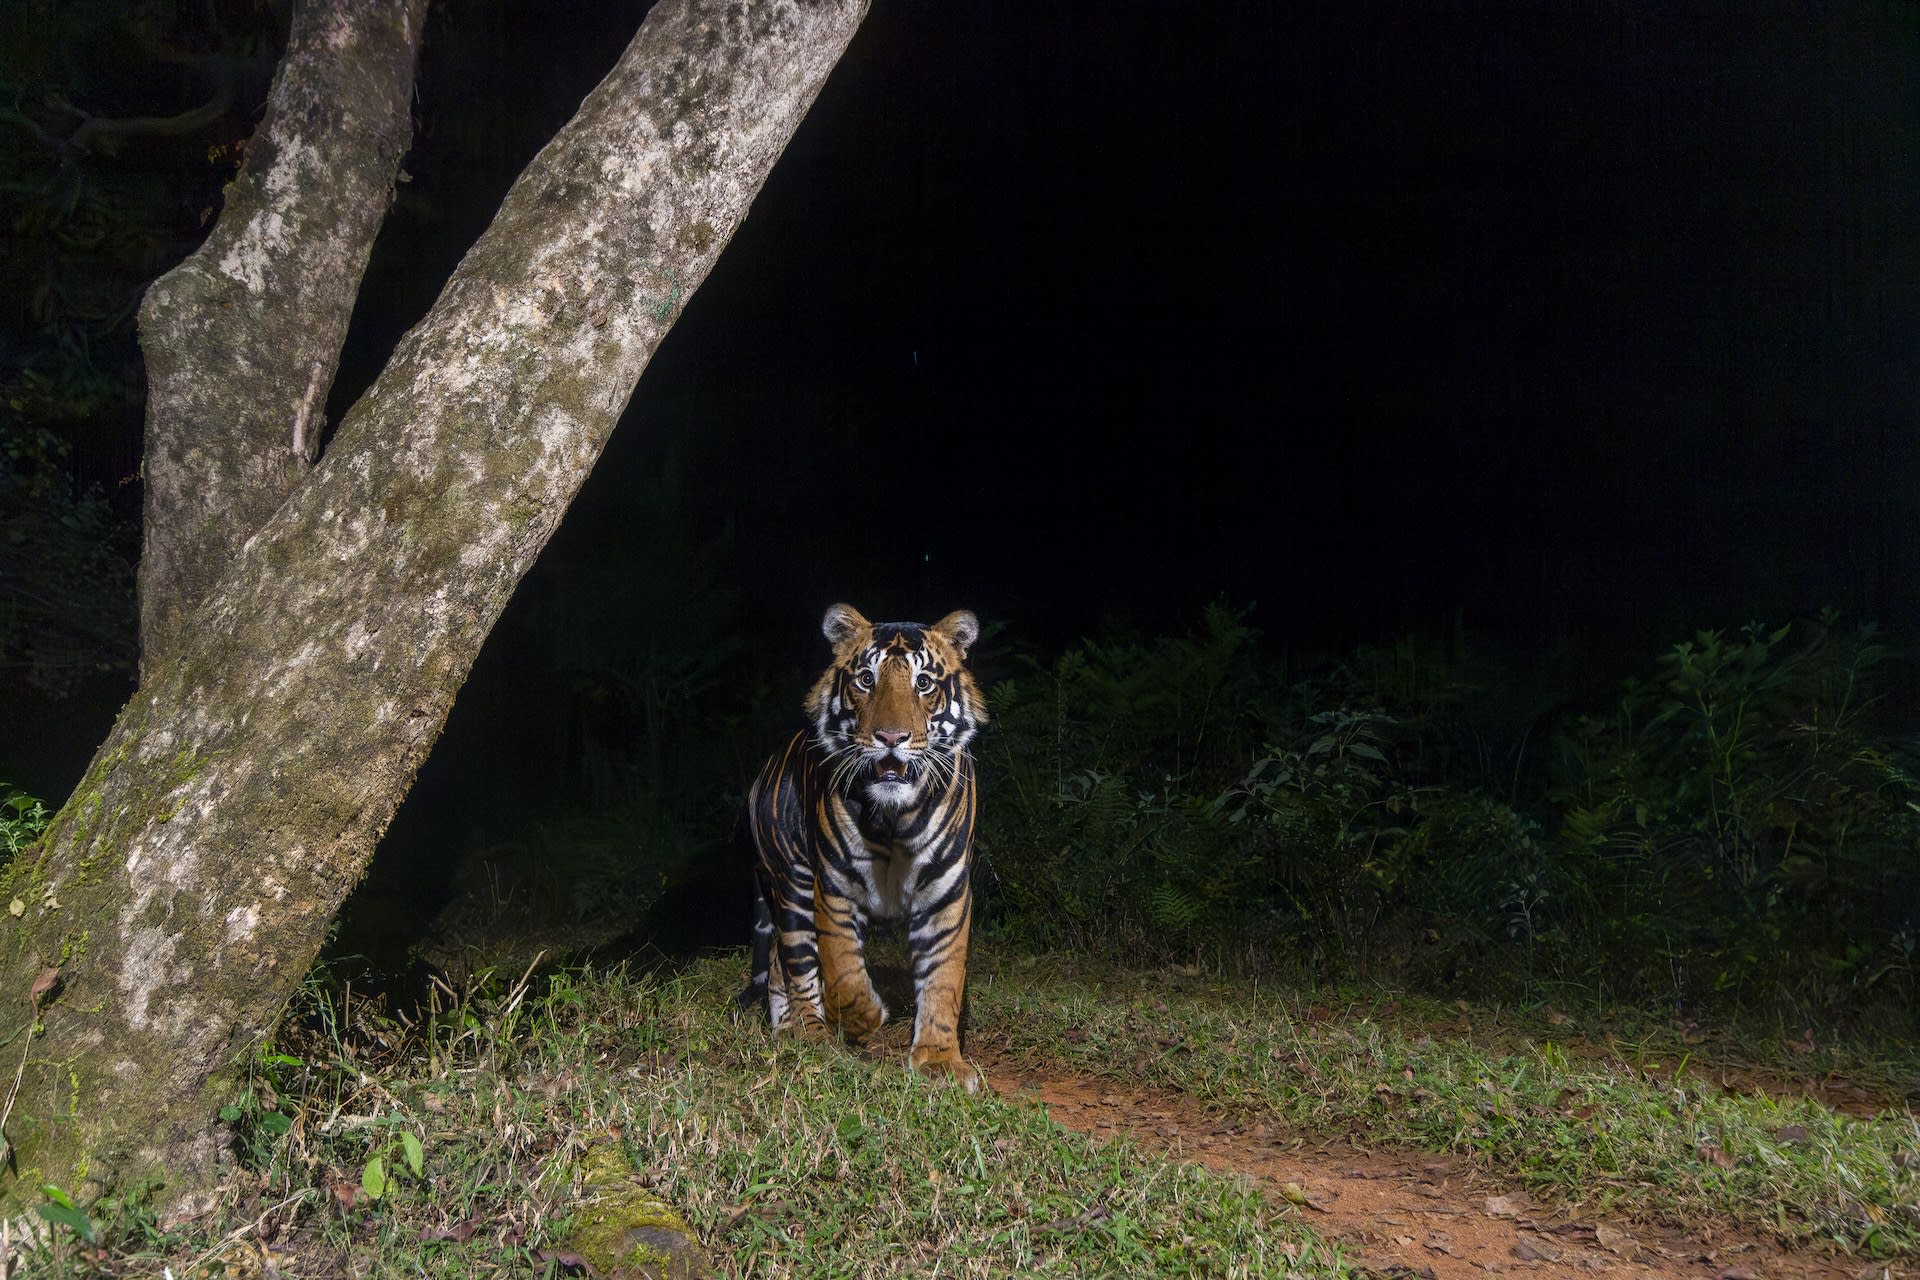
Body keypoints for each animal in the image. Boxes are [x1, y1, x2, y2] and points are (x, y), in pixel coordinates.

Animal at [740, 603, 987, 1091]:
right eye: (867, 679)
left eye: (923, 683)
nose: (891, 738)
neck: (895, 819)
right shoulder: (833, 887)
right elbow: (842, 973)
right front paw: (864, 1019)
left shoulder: (946, 893)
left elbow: (944, 977)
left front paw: (939, 1062)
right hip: (792, 884)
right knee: (795, 961)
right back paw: (809, 1033)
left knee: (779, 963)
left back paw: (788, 1030)